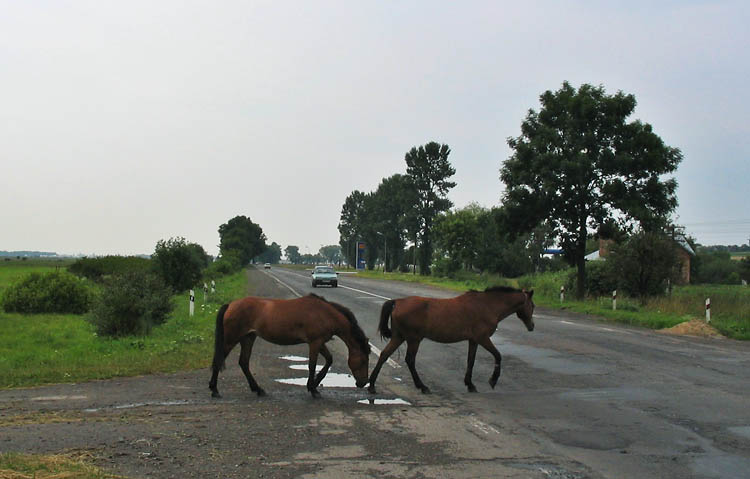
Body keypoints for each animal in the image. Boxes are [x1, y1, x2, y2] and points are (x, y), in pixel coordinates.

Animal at [210, 294, 372, 400]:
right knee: (219, 360)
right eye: (364, 360)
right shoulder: (315, 343)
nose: (363, 382)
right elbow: (312, 365)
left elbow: (329, 360)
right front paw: (313, 389)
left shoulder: (320, 343)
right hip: (231, 340)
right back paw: (214, 390)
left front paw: (315, 384)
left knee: (244, 362)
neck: (324, 314)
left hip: (248, 338)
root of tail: (230, 305)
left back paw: (258, 389)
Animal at [368, 286, 536, 396]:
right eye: (532, 306)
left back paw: (372, 385)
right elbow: (498, 356)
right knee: (409, 360)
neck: (487, 305)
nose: (532, 326)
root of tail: (398, 302)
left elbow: (470, 361)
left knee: (384, 355)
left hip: (399, 337)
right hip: (414, 339)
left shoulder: (473, 340)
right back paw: (422, 386)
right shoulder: (483, 338)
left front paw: (469, 384)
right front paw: (493, 380)